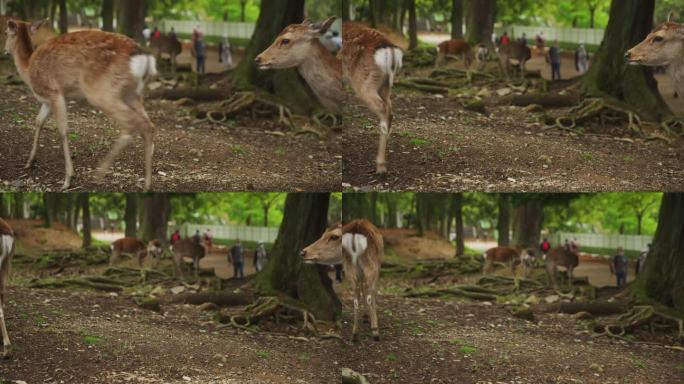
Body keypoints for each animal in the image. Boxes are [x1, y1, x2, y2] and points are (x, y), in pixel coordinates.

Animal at [3, 19, 158, 190]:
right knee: (148, 125)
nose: (5, 51)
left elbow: (63, 129)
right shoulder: (47, 101)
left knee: (133, 123)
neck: (28, 67)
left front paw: (68, 179)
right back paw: (147, 183)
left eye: (5, 33)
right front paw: (29, 162)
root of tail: (144, 58)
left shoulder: (54, 91)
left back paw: (100, 174)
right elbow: (38, 121)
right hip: (132, 93)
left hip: (101, 91)